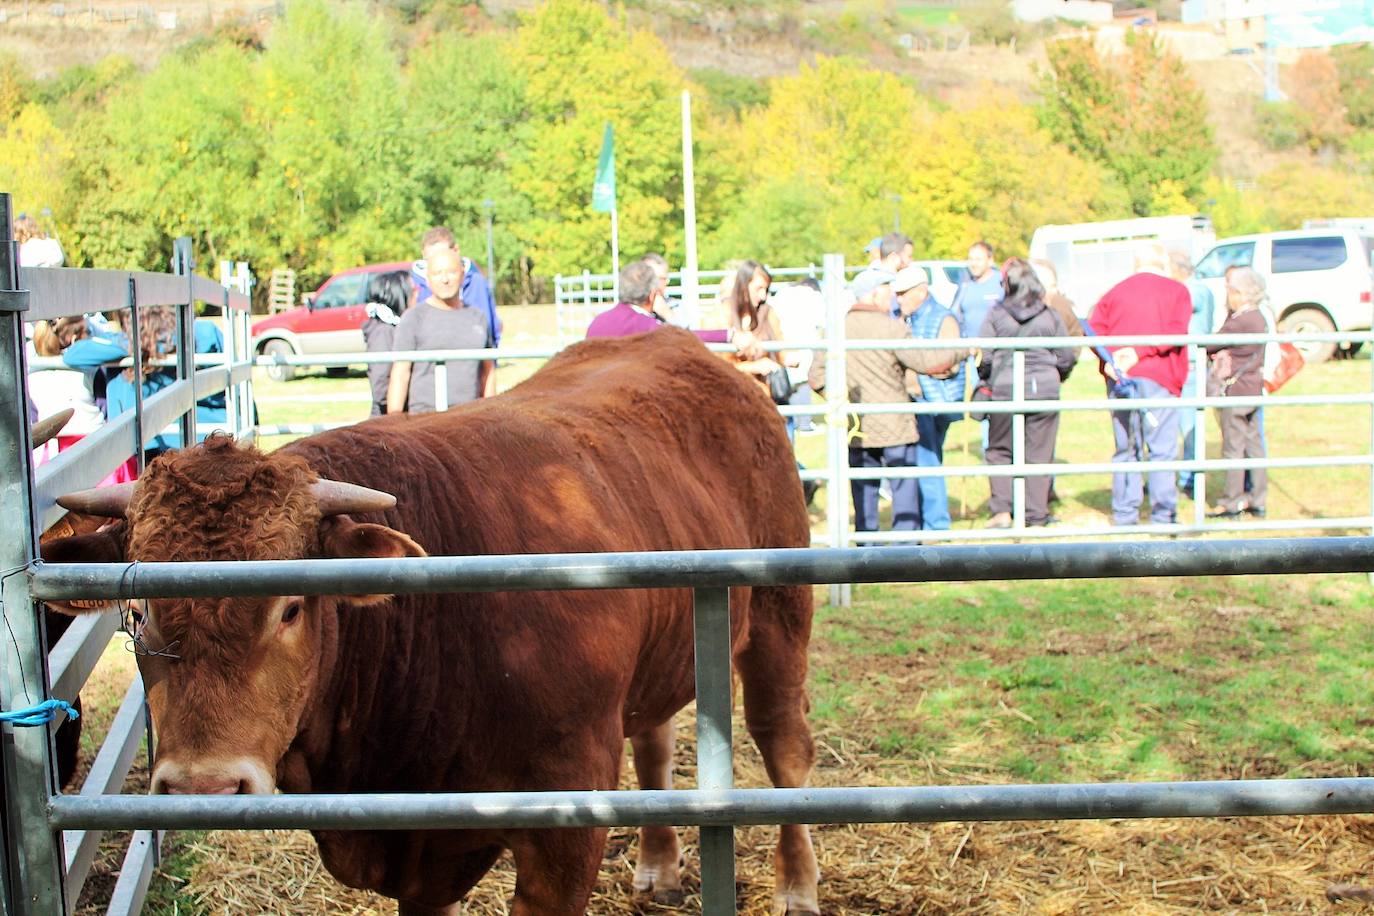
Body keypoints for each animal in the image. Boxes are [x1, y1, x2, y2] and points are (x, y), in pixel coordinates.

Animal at [42, 330, 818, 916]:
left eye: (291, 604)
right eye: (139, 610)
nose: (204, 787)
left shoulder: (565, 831)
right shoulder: (419, 852)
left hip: (780, 619)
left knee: (784, 746)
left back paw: (797, 886)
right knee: (655, 741)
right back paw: (659, 867)